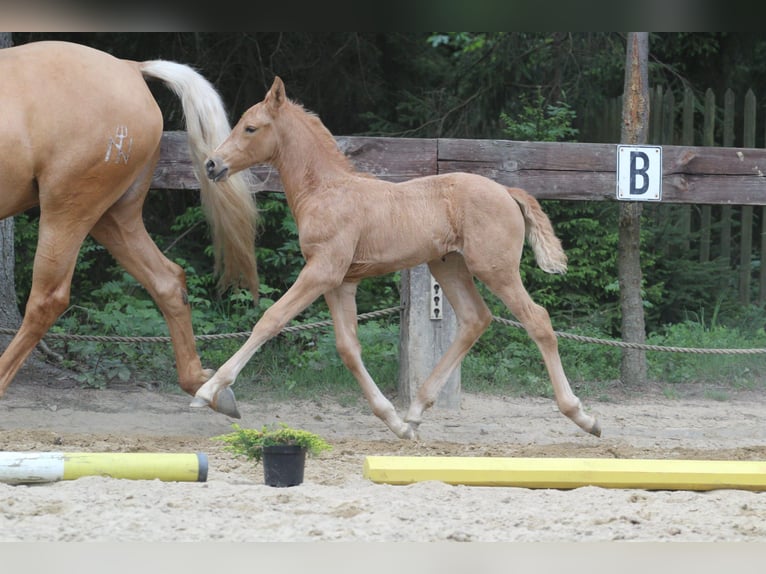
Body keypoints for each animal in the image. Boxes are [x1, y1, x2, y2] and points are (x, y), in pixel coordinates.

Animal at [0, 41, 258, 410]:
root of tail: (130, 67)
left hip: (69, 208)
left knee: (47, 299)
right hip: (114, 217)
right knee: (167, 280)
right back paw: (203, 385)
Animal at [200, 77, 608, 440]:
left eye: (250, 127)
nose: (212, 165)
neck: (325, 190)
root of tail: (507, 190)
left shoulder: (321, 272)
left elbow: (270, 320)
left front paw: (209, 391)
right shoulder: (340, 281)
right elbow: (348, 348)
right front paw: (394, 422)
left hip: (496, 269)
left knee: (537, 320)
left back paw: (583, 417)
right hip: (449, 265)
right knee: (475, 319)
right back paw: (414, 412)